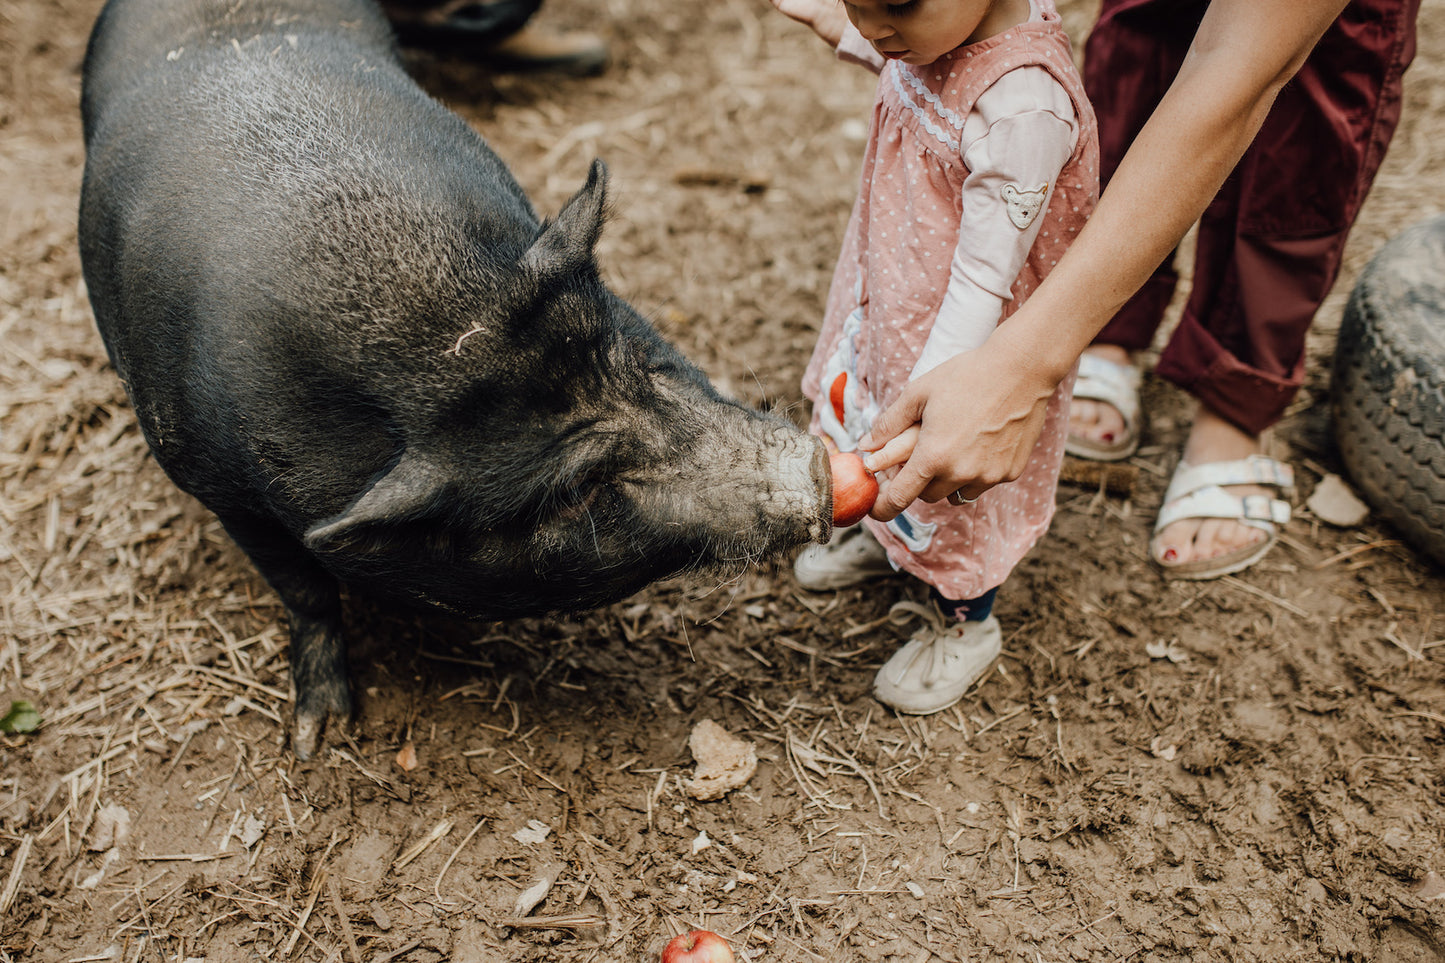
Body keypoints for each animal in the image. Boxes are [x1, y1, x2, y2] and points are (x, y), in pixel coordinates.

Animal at [79, 0, 832, 757]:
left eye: (647, 364)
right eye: (578, 491)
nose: (818, 471)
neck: (432, 328)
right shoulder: (213, 483)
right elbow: (305, 589)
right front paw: (322, 736)